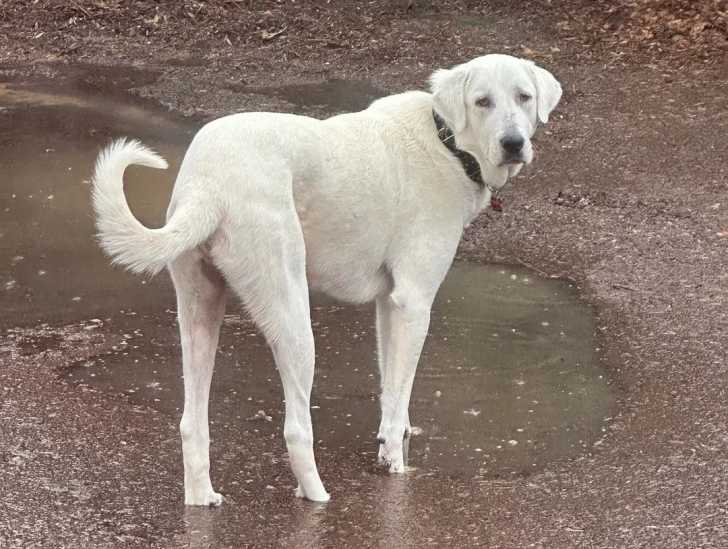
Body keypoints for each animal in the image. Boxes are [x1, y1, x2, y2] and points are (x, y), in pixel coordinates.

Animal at [92, 54, 562, 505]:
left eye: (523, 96)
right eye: (482, 101)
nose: (514, 144)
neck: (446, 141)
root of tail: (210, 186)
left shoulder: (389, 305)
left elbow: (392, 388)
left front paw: (393, 439)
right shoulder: (414, 303)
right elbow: (399, 393)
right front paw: (395, 464)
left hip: (199, 313)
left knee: (192, 423)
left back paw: (202, 496)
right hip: (294, 320)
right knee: (296, 429)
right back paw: (317, 496)